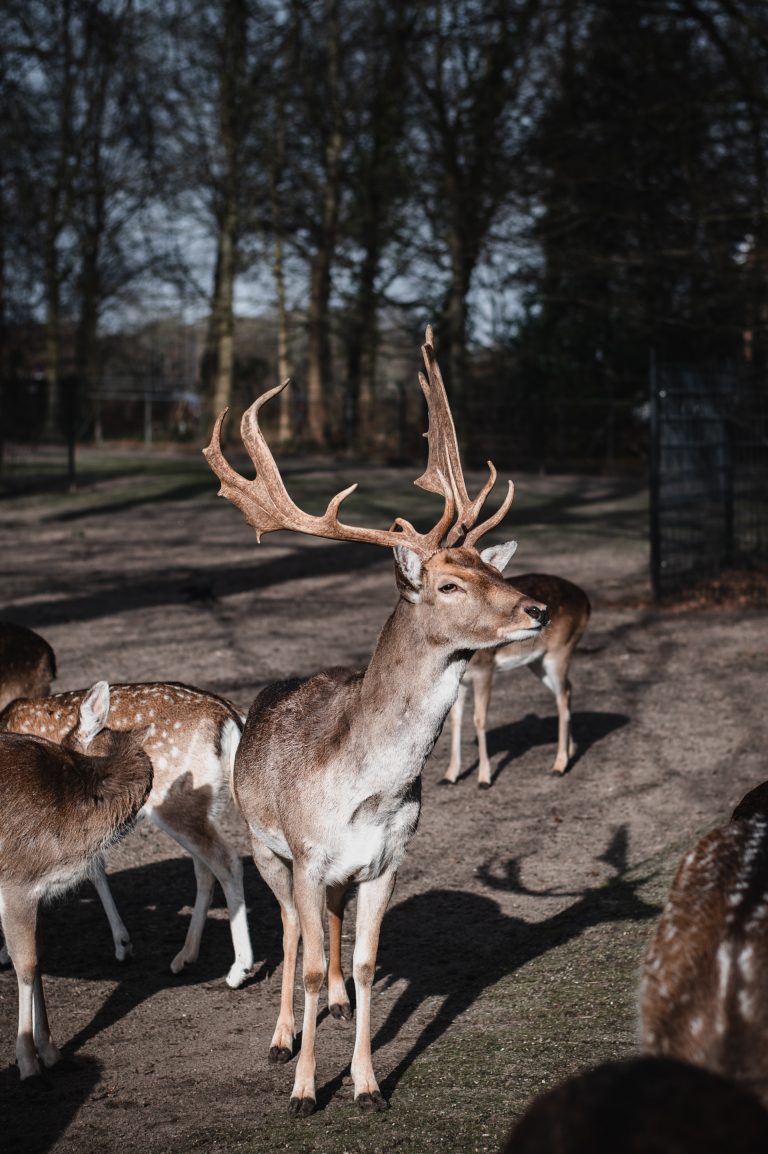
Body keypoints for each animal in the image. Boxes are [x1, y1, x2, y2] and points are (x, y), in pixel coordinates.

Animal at [0, 678, 252, 987]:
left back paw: (238, 969)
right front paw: (122, 944)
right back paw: (184, 957)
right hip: (203, 805)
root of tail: (231, 714)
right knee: (205, 868)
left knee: (227, 861)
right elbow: (95, 867)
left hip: (177, 804)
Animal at [0, 678, 152, 1075]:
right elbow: (26, 965)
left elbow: (38, 959)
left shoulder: (36, 892)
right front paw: (26, 1060)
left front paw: (50, 1049)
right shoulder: (14, 883)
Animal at [201, 330, 544, 1112]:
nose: (536, 609)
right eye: (448, 584)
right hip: (264, 847)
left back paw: (330, 1011)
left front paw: (366, 1084)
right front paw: (304, 1090)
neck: (368, 791)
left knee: (327, 928)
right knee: (292, 932)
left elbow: (363, 963)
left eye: (490, 567)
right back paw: (281, 1038)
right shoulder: (305, 854)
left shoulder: (387, 861)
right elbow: (304, 960)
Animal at [440, 574, 588, 784]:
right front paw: (450, 775)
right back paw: (570, 751)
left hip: (560, 650)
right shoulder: (459, 681)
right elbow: (455, 719)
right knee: (567, 689)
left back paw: (559, 765)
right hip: (537, 661)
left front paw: (484, 778)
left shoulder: (485, 669)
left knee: (562, 696)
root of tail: (586, 601)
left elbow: (480, 719)